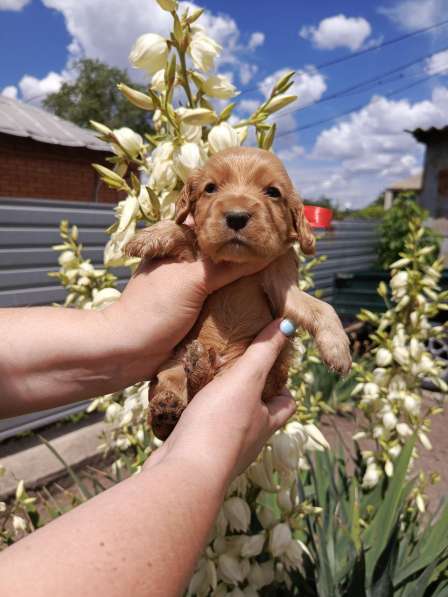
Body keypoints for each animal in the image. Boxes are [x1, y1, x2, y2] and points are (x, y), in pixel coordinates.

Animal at [125, 146, 350, 438]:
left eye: (273, 192)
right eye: (210, 188)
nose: (236, 217)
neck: (236, 262)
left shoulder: (281, 285)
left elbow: (322, 307)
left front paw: (338, 350)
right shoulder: (194, 256)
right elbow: (187, 231)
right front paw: (152, 235)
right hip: (172, 363)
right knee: (175, 388)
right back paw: (168, 404)